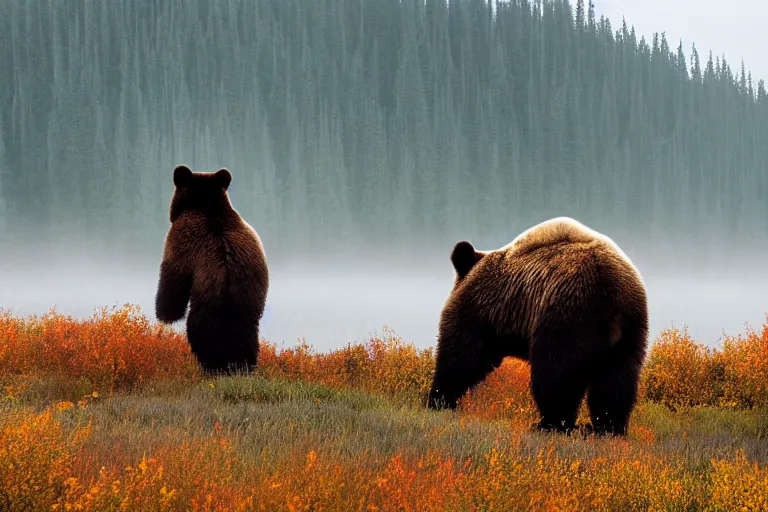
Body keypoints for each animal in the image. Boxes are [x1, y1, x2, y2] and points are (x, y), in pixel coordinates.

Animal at [154, 166, 268, 374]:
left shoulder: (179, 241)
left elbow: (172, 281)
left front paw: (165, 314)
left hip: (208, 301)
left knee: (202, 333)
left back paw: (213, 366)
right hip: (248, 303)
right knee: (246, 336)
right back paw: (244, 365)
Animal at [426, 216, 648, 436]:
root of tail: (610, 295)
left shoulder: (484, 310)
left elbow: (464, 355)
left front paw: (439, 399)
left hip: (565, 315)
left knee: (555, 375)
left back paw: (550, 424)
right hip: (630, 329)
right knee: (615, 381)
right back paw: (607, 427)